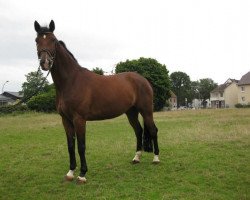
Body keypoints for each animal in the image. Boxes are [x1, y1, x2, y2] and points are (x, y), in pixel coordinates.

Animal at [33, 20, 160, 184]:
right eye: (37, 40)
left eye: (53, 40)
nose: (45, 63)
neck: (71, 81)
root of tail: (143, 79)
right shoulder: (65, 120)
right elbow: (70, 145)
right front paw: (70, 172)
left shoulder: (79, 119)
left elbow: (81, 146)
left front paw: (82, 174)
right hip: (131, 112)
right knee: (138, 130)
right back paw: (136, 158)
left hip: (146, 110)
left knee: (153, 130)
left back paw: (156, 158)